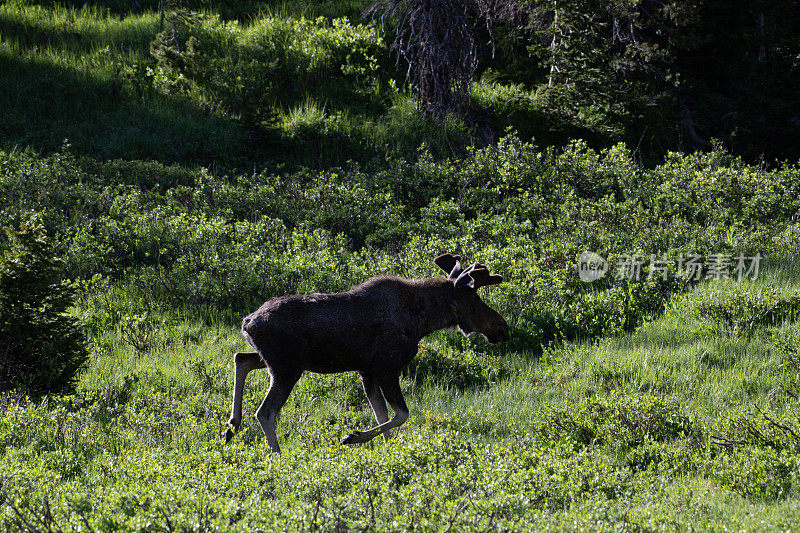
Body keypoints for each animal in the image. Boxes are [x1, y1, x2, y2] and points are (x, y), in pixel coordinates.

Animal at [223, 251, 512, 450]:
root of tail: (247, 322)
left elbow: (383, 416)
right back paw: (277, 456)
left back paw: (232, 425)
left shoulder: (367, 371)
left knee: (241, 358)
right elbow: (401, 414)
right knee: (265, 412)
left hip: (276, 360)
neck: (421, 322)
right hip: (287, 367)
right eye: (475, 299)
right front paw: (352, 436)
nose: (502, 327)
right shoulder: (385, 367)